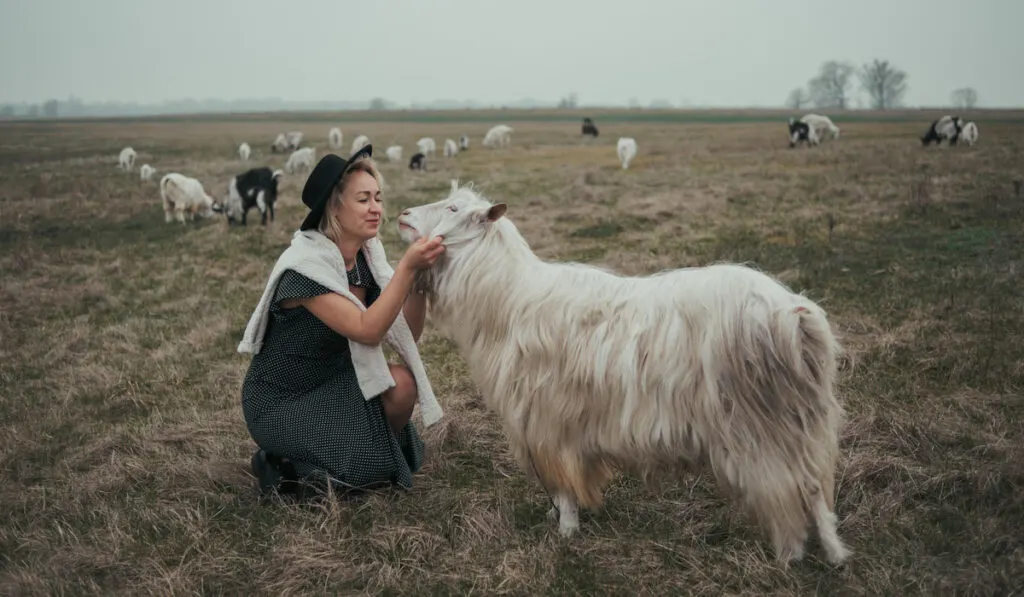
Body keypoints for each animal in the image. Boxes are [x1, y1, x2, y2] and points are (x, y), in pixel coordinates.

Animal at [395, 184, 851, 569]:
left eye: (453, 209)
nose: (402, 214)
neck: (506, 299)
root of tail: (795, 314)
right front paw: (557, 518)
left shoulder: (549, 421)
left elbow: (564, 485)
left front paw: (566, 532)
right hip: (797, 418)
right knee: (814, 485)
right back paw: (835, 554)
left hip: (759, 424)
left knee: (788, 490)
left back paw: (790, 556)